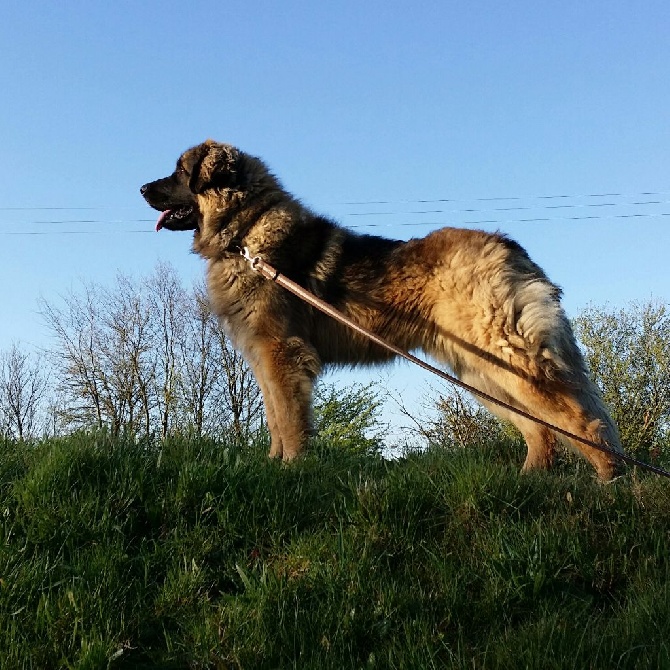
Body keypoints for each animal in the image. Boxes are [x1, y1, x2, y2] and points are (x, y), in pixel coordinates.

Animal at [140, 139, 624, 480]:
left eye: (180, 171)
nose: (142, 187)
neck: (245, 234)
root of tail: (506, 245)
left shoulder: (282, 353)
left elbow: (290, 419)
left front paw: (292, 470)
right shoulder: (264, 358)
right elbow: (276, 418)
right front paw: (273, 466)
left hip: (503, 355)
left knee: (578, 416)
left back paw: (609, 479)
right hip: (480, 370)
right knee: (540, 426)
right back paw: (529, 479)